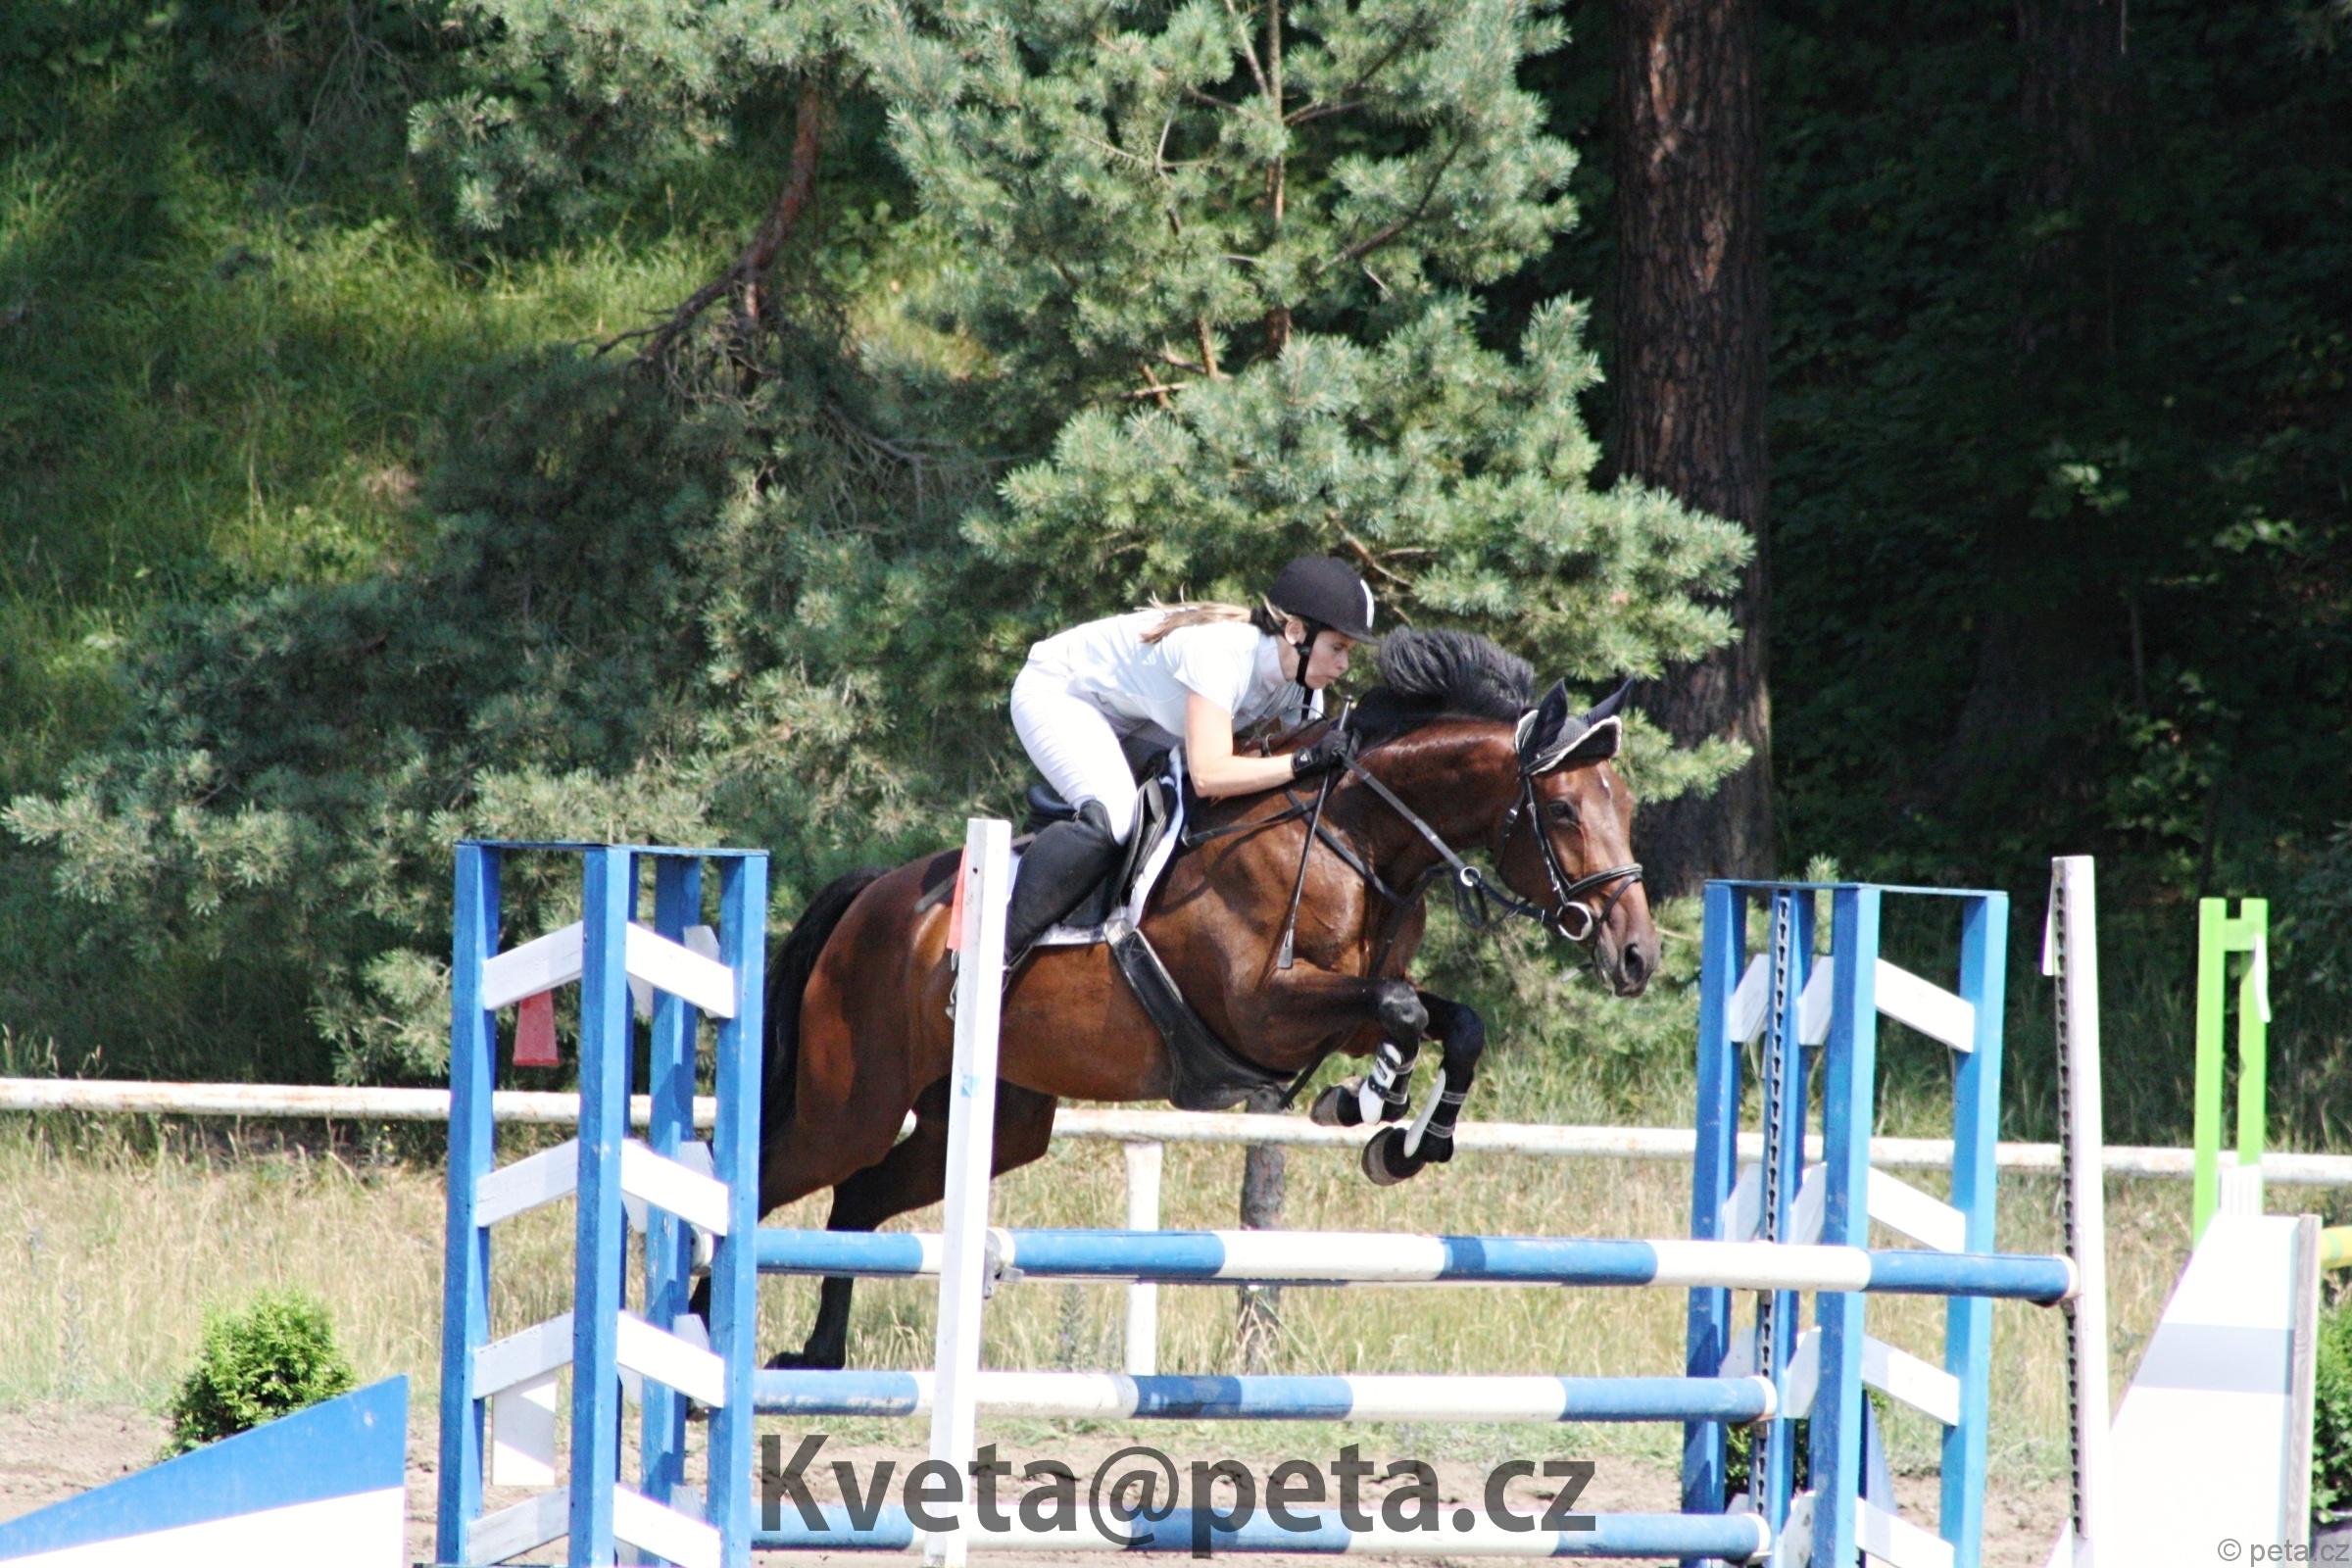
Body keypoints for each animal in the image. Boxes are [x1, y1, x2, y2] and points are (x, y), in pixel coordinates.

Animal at [737, 629, 1659, 1369]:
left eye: (1627, 805)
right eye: (1564, 810)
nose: (1637, 956)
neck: (1357, 835)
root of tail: (871, 898)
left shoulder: (1339, 1011)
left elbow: (1452, 1021)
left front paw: (1402, 1141)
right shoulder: (1264, 1012)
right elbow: (1400, 1009)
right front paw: (1367, 1106)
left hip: (993, 1123)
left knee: (860, 1197)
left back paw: (818, 1355)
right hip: (852, 1103)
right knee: (775, 1177)